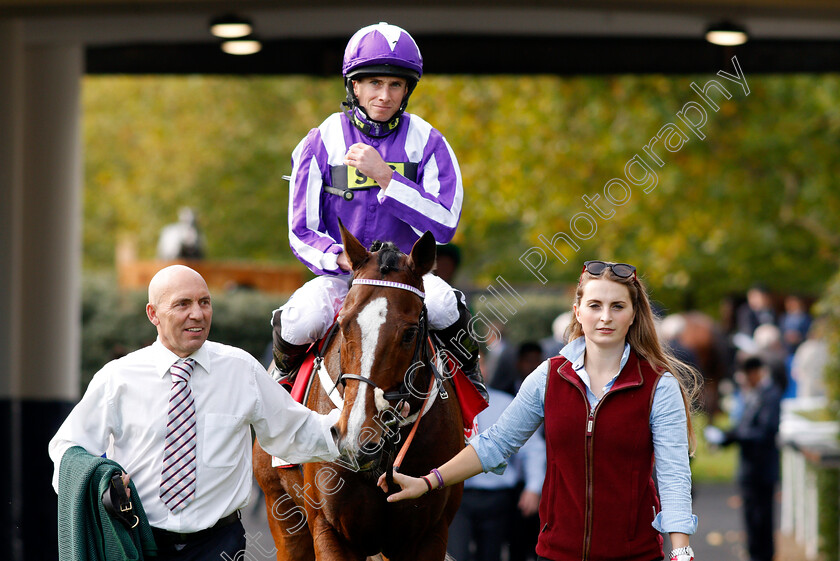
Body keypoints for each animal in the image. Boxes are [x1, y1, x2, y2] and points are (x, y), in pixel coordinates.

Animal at [254, 223, 466, 560]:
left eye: (410, 333)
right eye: (343, 323)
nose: (357, 439)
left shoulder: (430, 534)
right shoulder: (330, 531)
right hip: (283, 513)